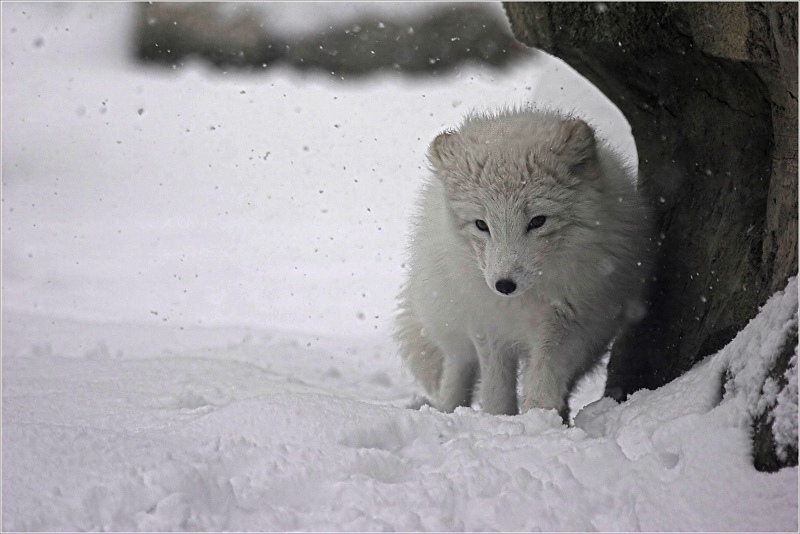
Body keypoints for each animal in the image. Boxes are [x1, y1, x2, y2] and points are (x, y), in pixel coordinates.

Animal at [394, 108, 648, 422]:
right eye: (481, 225)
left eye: (537, 221)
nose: (504, 285)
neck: (523, 302)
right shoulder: (489, 325)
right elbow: (496, 385)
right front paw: (499, 418)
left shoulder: (566, 321)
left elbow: (544, 377)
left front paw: (540, 418)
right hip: (453, 320)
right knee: (457, 367)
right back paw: (446, 410)